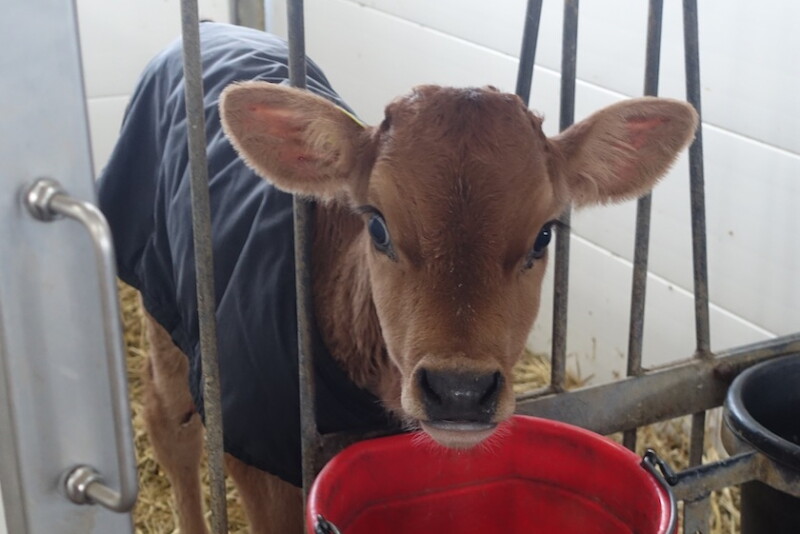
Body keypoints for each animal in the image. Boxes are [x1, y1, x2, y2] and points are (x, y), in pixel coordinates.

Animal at [97, 22, 698, 534]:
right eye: (379, 226)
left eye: (544, 235)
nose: (460, 391)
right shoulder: (253, 448)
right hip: (163, 303)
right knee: (168, 423)